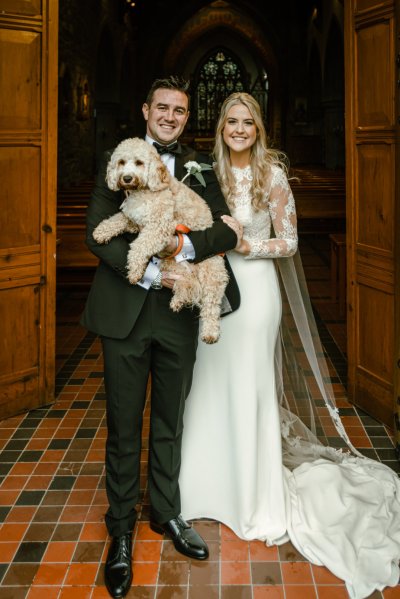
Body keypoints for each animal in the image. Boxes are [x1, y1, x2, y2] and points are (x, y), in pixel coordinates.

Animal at [93, 136, 228, 342]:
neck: (144, 190)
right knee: (188, 284)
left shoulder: (159, 227)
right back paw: (179, 298)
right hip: (173, 266)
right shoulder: (135, 220)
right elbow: (118, 219)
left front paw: (134, 271)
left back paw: (210, 333)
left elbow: (139, 247)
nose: (126, 178)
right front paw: (101, 231)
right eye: (121, 162)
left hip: (211, 274)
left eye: (139, 163)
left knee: (211, 305)